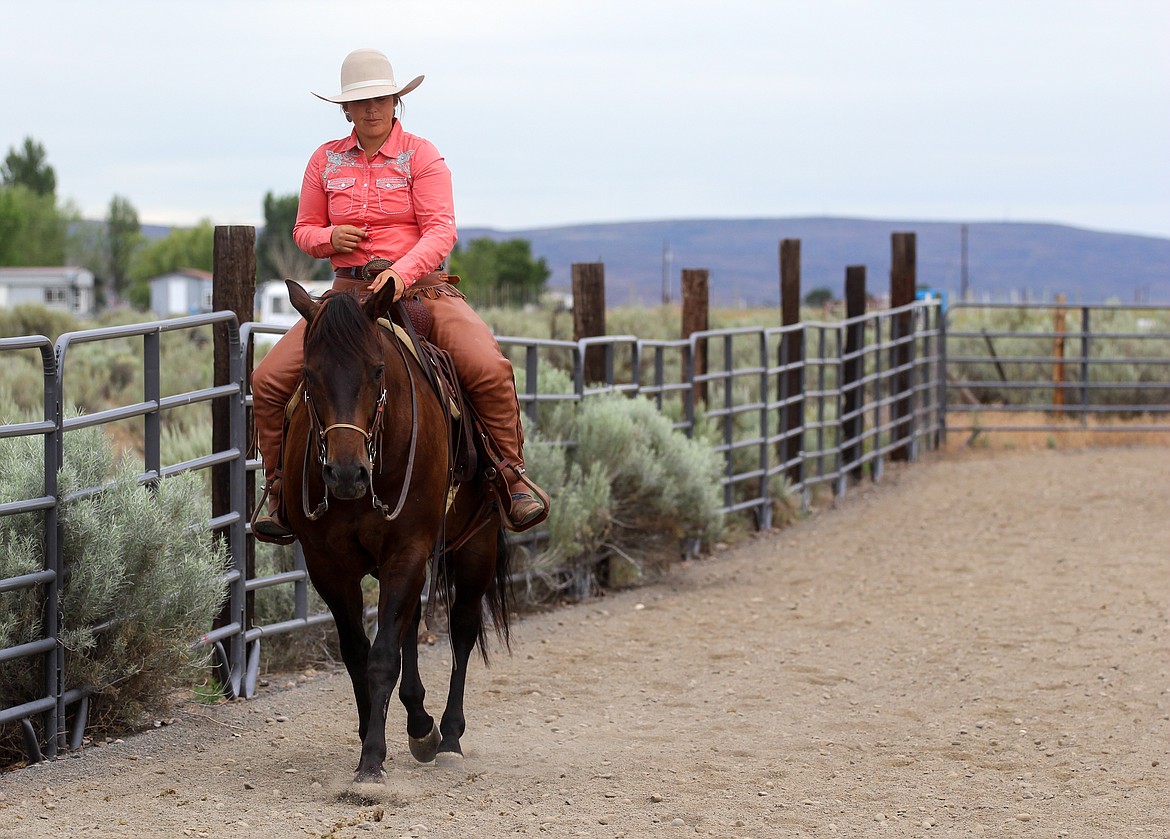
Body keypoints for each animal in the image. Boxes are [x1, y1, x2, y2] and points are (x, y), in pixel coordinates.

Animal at [277, 278, 511, 784]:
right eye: (308, 373)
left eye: (377, 369)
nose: (346, 473)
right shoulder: (328, 565)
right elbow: (358, 652)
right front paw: (374, 739)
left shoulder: (407, 548)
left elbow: (384, 655)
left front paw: (371, 762)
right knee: (410, 626)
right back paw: (420, 724)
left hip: (476, 545)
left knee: (463, 628)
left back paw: (449, 735)